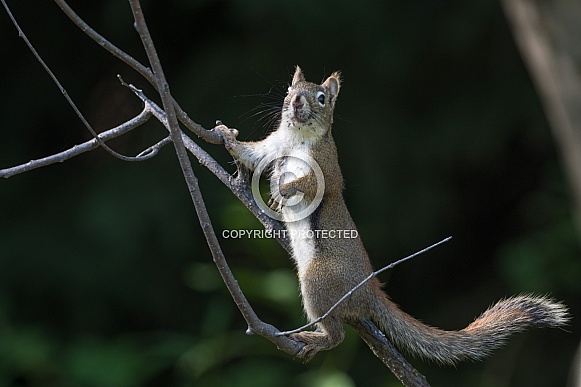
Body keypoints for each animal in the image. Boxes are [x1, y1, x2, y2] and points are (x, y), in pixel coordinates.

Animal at [212, 65, 568, 366]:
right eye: (289, 89)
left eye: (322, 98)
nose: (296, 103)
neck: (297, 137)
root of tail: (368, 292)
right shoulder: (274, 146)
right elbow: (251, 153)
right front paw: (226, 135)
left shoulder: (328, 168)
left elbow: (315, 187)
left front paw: (282, 190)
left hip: (318, 282)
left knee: (337, 335)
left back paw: (317, 338)